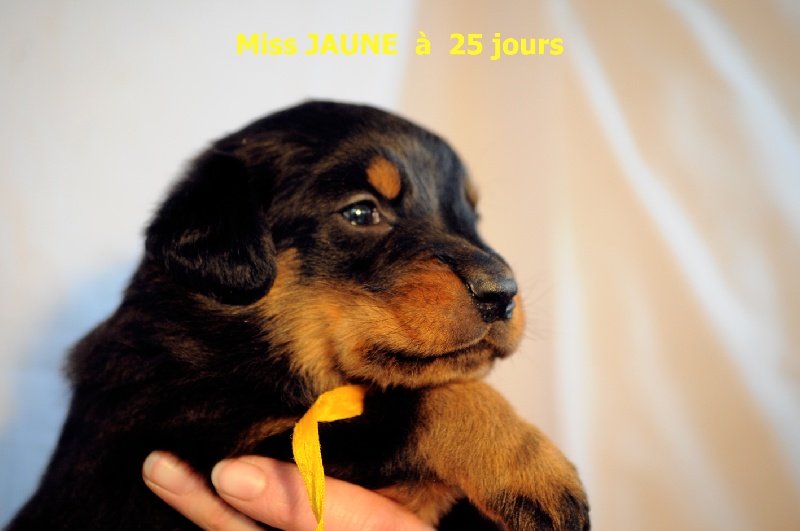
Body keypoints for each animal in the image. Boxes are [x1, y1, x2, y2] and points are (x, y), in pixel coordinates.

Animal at [6, 101, 589, 530]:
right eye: (361, 211)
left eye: (472, 215)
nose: (503, 293)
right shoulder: (211, 437)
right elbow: (424, 402)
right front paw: (533, 471)